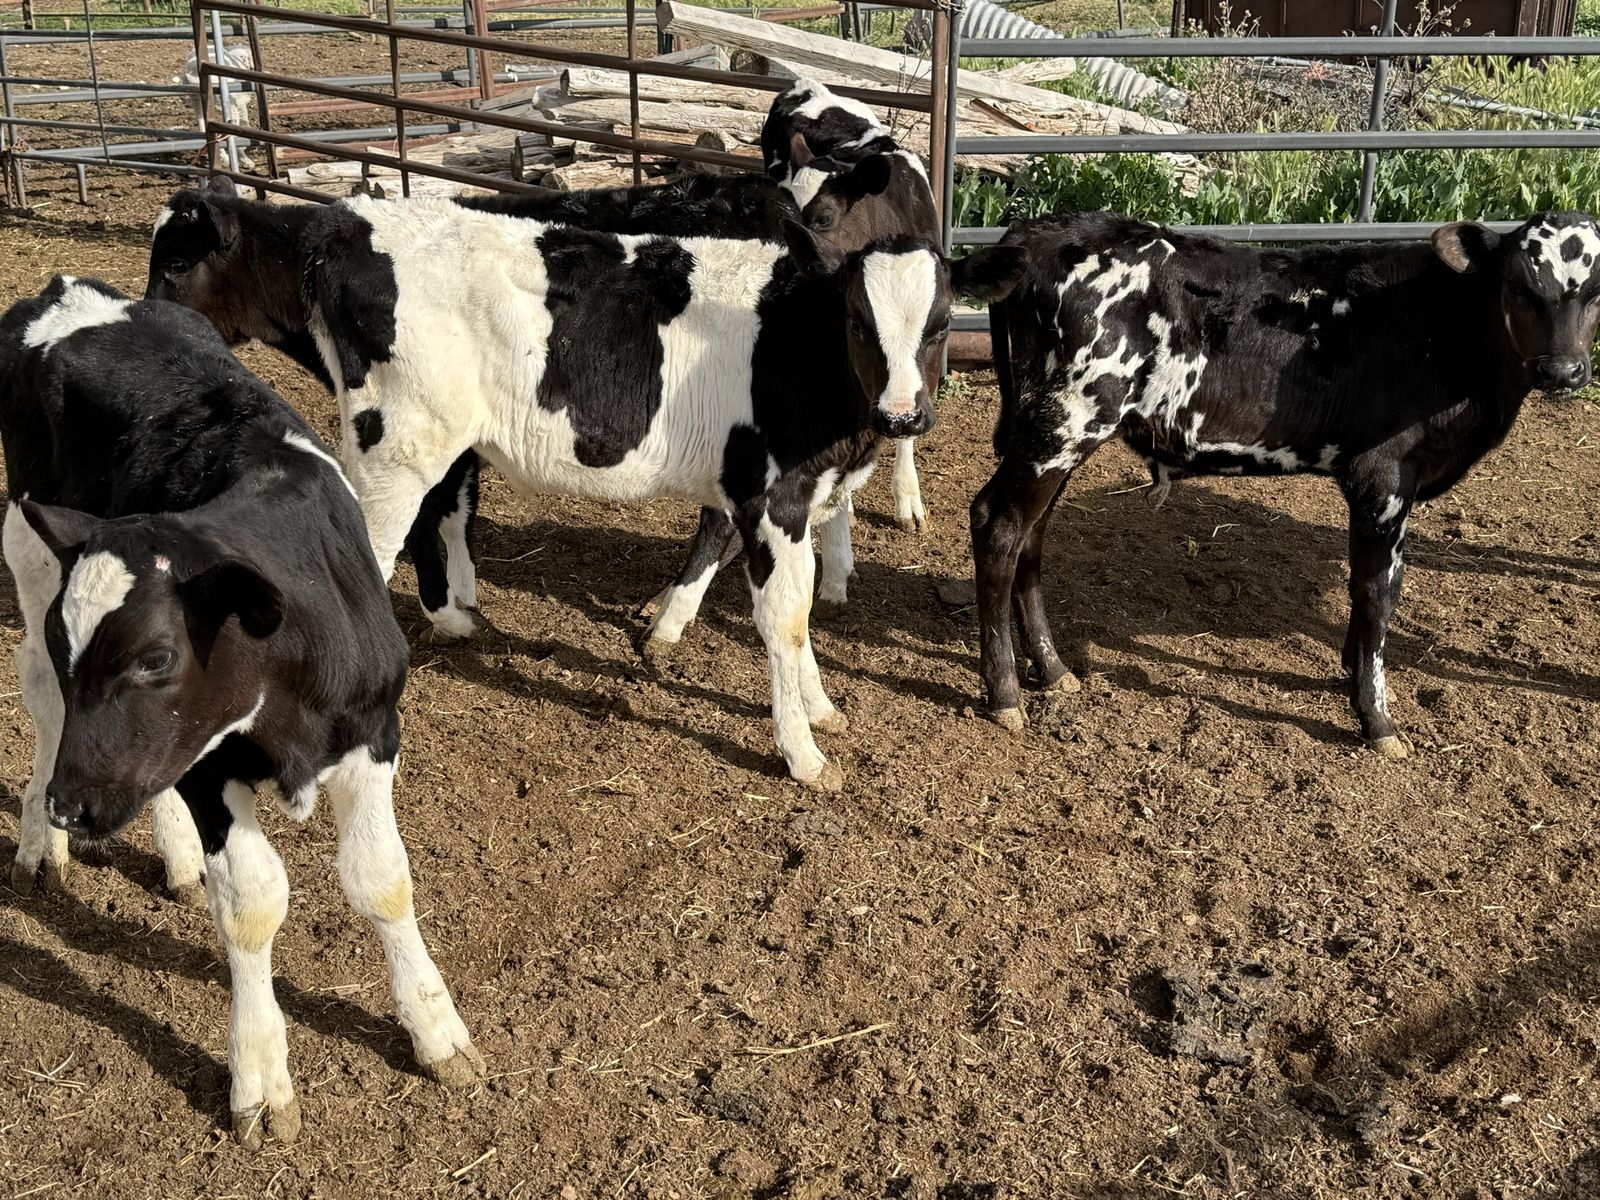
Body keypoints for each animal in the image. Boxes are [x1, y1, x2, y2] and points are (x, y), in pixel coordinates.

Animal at [0, 277, 481, 1147]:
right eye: (69, 638)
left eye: (158, 658)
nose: (70, 806)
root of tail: (69, 288)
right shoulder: (208, 766)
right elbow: (255, 905)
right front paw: (259, 1075)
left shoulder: (372, 731)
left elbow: (383, 880)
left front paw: (435, 1028)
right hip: (28, 541)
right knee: (40, 694)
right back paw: (39, 846)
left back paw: (167, 856)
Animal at [147, 184, 1024, 788]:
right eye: (859, 324)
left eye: (940, 326)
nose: (904, 413)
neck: (794, 346)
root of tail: (351, 225)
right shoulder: (769, 496)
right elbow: (781, 619)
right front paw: (802, 754)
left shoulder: (801, 497)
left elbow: (801, 611)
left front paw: (818, 710)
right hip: (397, 449)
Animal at [972, 210, 1600, 756]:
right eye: (1519, 286)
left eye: (1596, 292)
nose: (1564, 371)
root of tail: (1041, 232)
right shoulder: (1383, 480)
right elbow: (1377, 592)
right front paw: (1376, 718)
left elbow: (1368, 590)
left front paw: (1351, 671)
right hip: (1064, 423)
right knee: (998, 526)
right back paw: (1003, 693)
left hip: (1058, 435)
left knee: (1032, 535)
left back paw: (1053, 669)